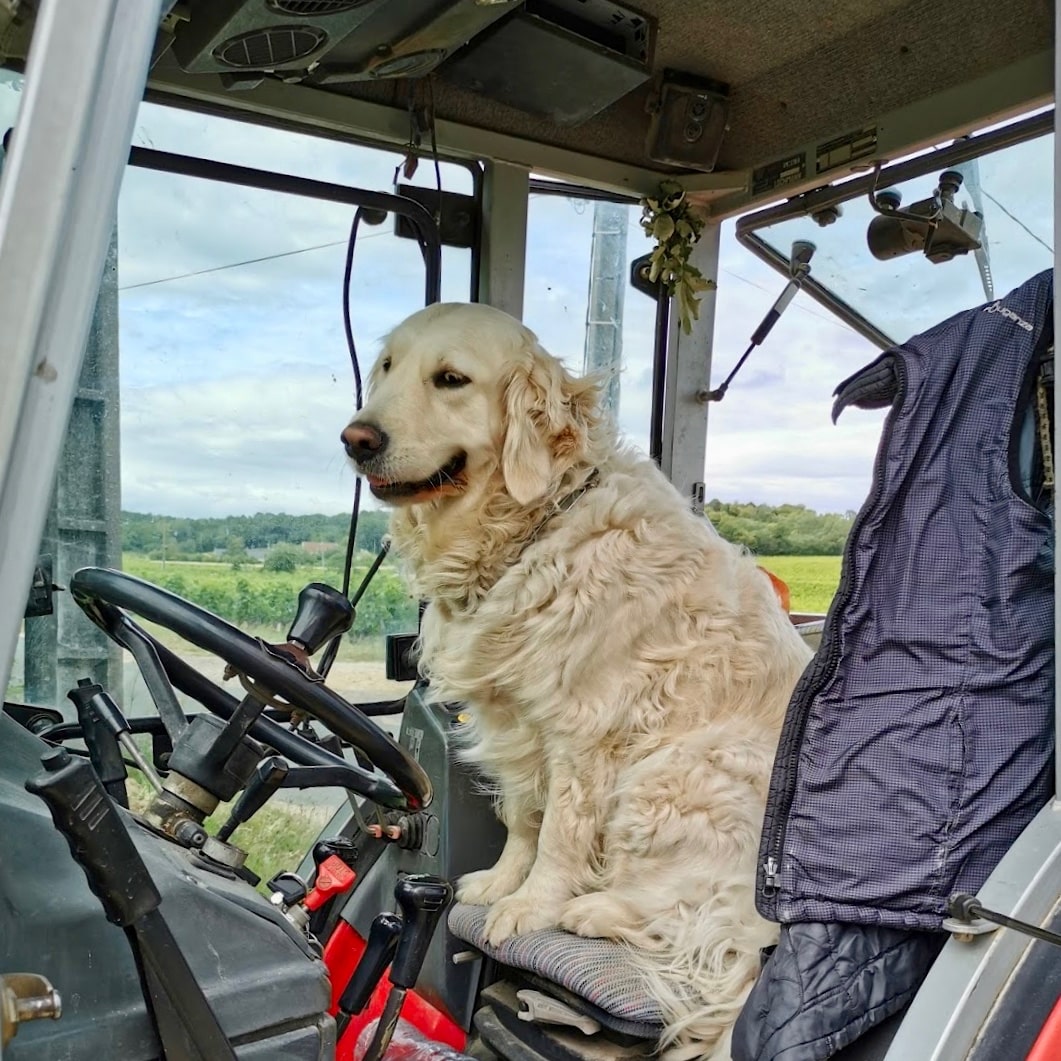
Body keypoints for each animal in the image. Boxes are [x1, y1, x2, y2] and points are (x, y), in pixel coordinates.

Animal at [339, 303, 810, 1056]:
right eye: (386, 367)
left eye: (450, 379)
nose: (356, 438)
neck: (536, 526)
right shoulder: (516, 722)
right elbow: (521, 818)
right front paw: (501, 882)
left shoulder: (586, 730)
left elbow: (560, 831)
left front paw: (530, 906)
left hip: (675, 772)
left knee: (713, 925)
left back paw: (594, 911)